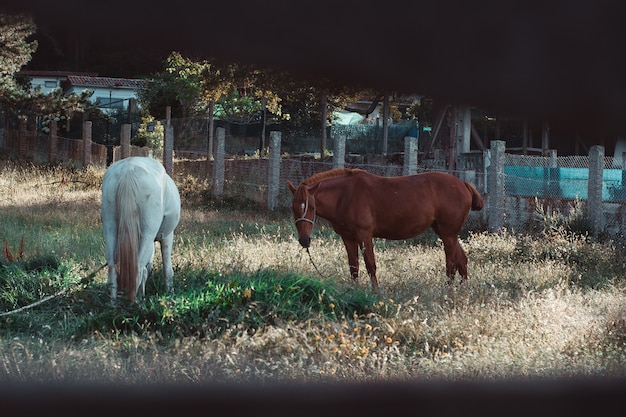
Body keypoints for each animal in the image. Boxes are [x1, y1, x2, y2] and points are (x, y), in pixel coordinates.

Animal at [98, 156, 179, 302]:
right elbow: (167, 269)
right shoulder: (167, 236)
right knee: (138, 269)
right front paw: (170, 292)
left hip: (110, 231)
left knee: (112, 269)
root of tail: (128, 170)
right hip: (147, 235)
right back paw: (135, 303)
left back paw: (113, 303)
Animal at [286, 167, 482, 288]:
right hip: (447, 233)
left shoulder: (364, 235)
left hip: (448, 234)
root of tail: (463, 184)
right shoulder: (348, 238)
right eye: (293, 208)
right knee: (461, 261)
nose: (304, 240)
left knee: (451, 264)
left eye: (311, 207)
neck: (345, 196)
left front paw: (375, 292)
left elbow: (370, 265)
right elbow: (353, 267)